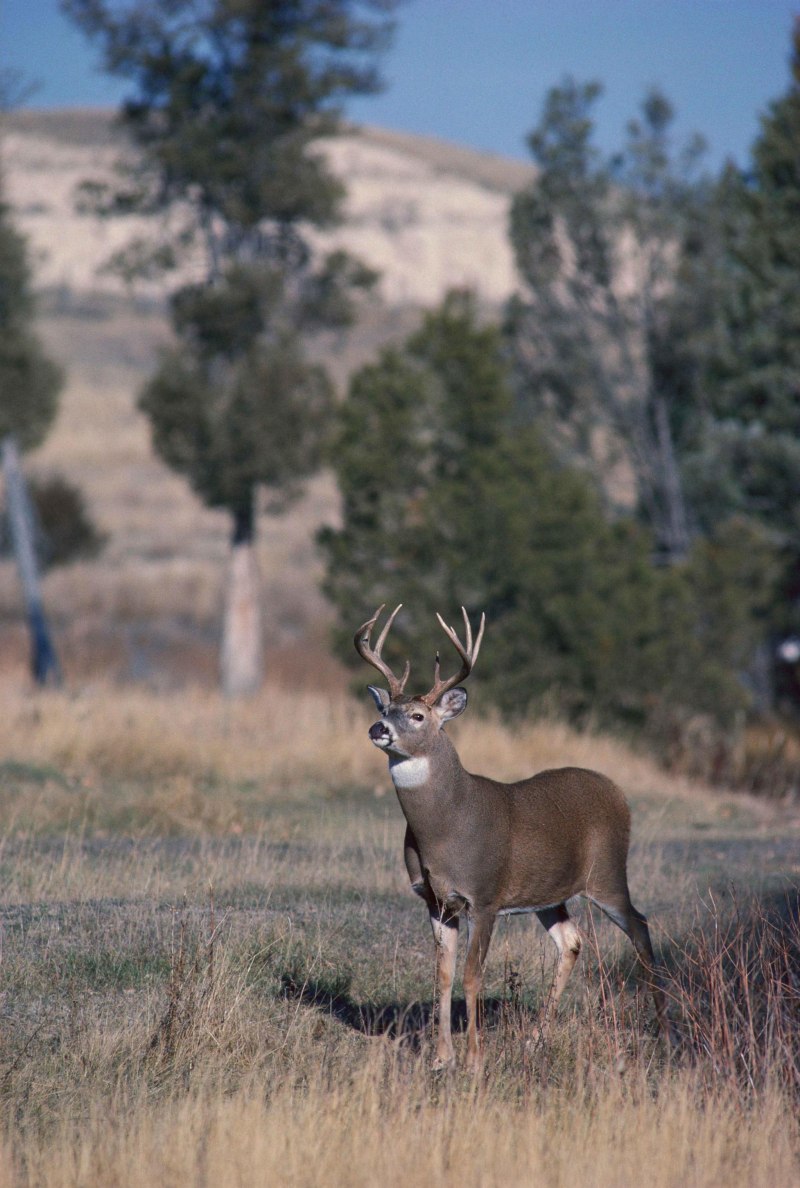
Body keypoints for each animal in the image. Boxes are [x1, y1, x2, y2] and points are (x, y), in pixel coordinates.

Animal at [351, 608, 670, 1073]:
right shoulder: (435, 900)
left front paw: (473, 1059)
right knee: (572, 941)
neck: (446, 828)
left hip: (608, 873)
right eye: (386, 708)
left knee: (640, 927)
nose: (378, 727)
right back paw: (536, 1041)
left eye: (417, 716)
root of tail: (617, 792)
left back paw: (665, 1032)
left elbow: (472, 974)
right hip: (549, 894)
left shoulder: (485, 896)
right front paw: (441, 1058)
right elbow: (443, 974)